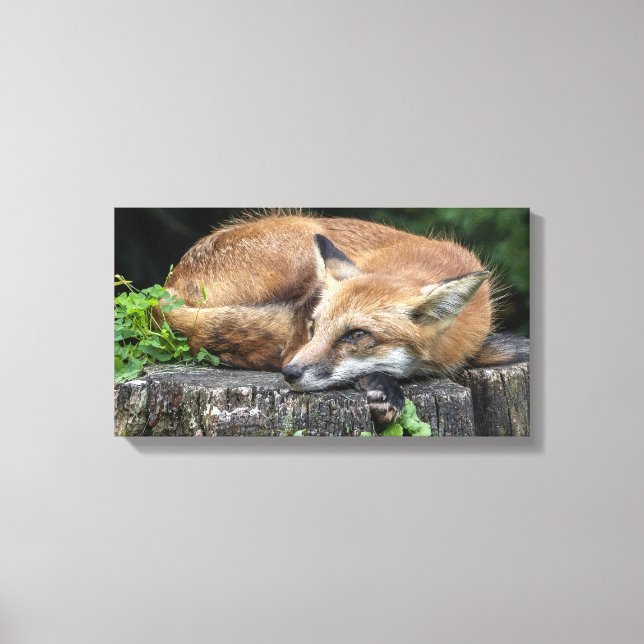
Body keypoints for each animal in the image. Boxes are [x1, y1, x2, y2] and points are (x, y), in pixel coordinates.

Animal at [161, 211, 528, 428]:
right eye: (315, 328)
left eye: (355, 334)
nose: (289, 374)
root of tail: (166, 289)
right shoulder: (299, 333)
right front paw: (385, 389)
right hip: (304, 246)